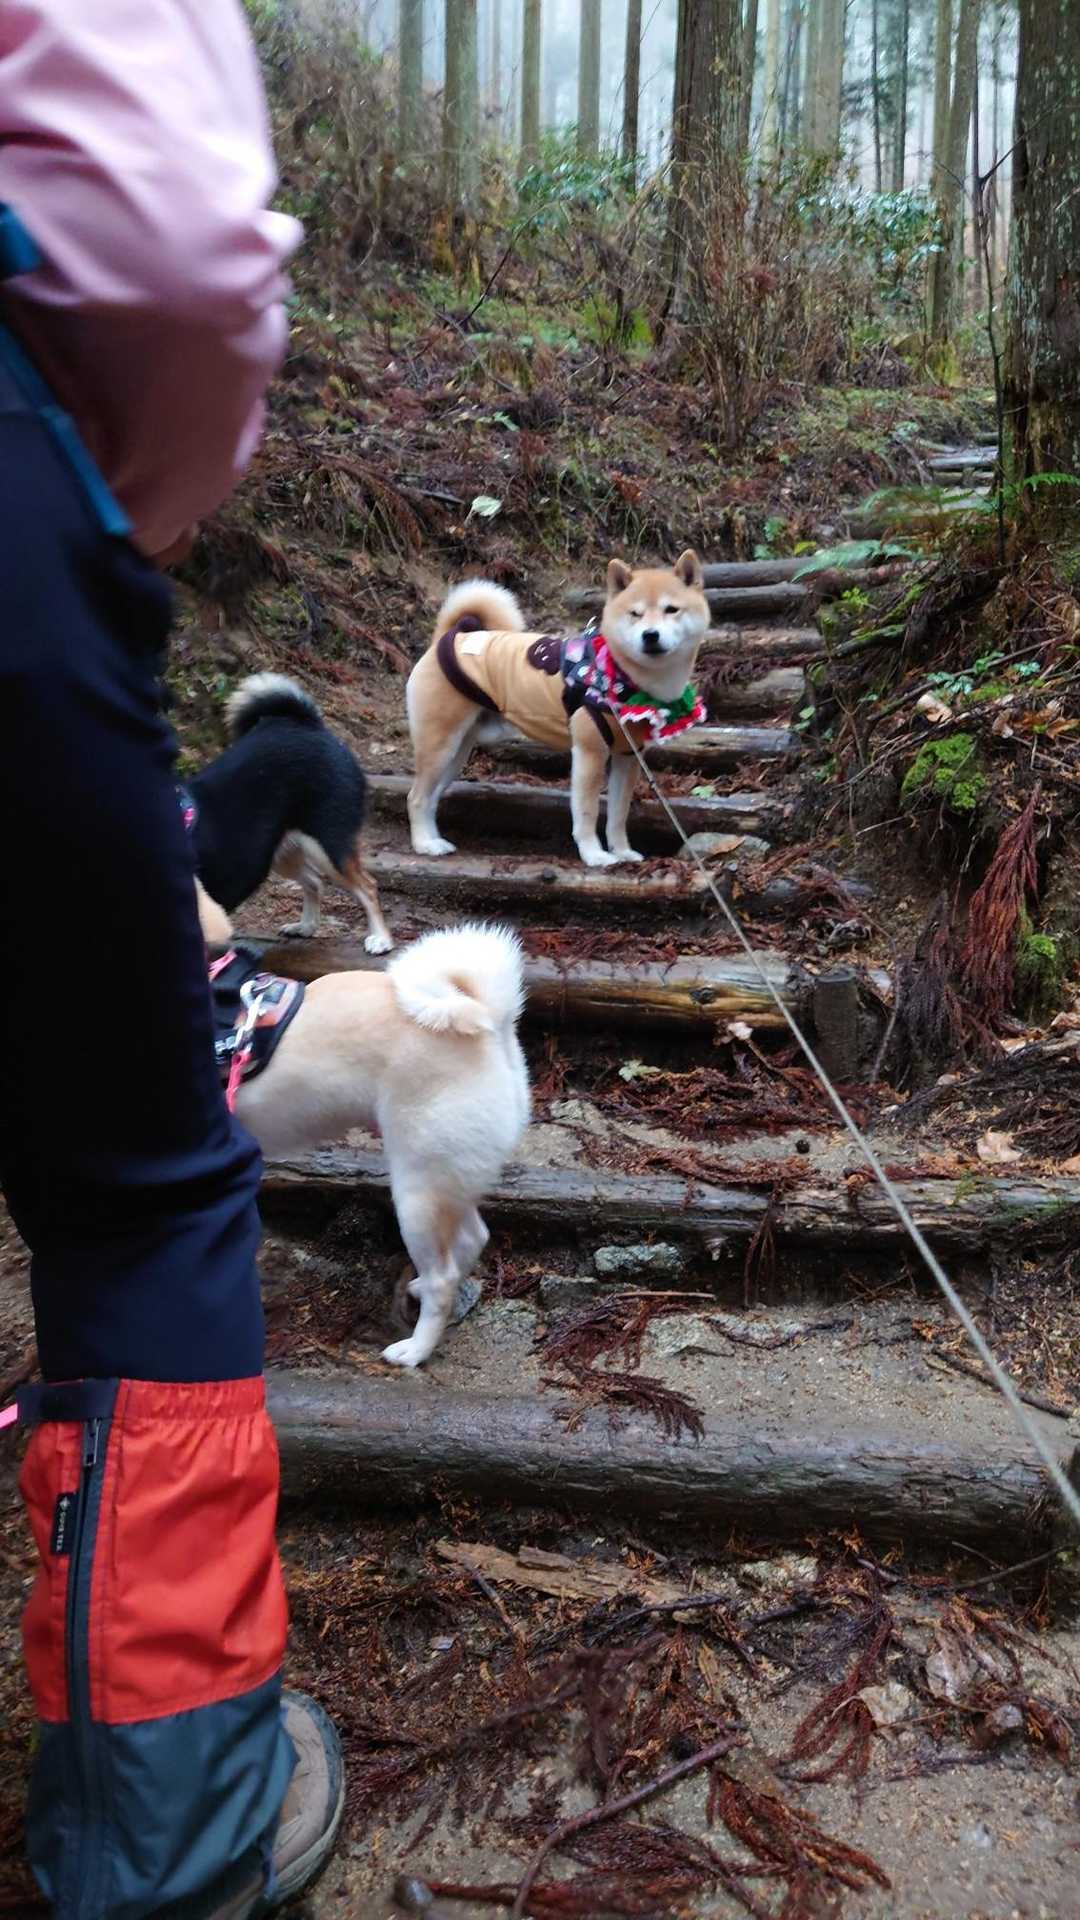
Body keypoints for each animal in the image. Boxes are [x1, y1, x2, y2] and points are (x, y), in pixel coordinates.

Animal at [187, 673, 392, 951]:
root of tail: (306, 724)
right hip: (279, 852)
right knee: (314, 881)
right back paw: (306, 927)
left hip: (327, 847)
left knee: (368, 887)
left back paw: (381, 939)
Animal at [197, 892, 529, 1370]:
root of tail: (491, 1020)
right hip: (446, 1175)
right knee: (470, 1239)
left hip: (416, 1191)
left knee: (444, 1278)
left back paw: (415, 1349)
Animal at [405, 552, 710, 868]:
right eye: (635, 614)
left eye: (671, 610)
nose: (650, 635)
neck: (620, 673)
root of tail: (450, 636)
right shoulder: (590, 752)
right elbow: (587, 812)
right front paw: (594, 855)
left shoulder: (628, 756)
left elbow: (617, 814)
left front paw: (622, 851)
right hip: (440, 745)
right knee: (416, 797)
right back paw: (424, 844)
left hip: (456, 752)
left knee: (430, 797)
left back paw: (433, 839)